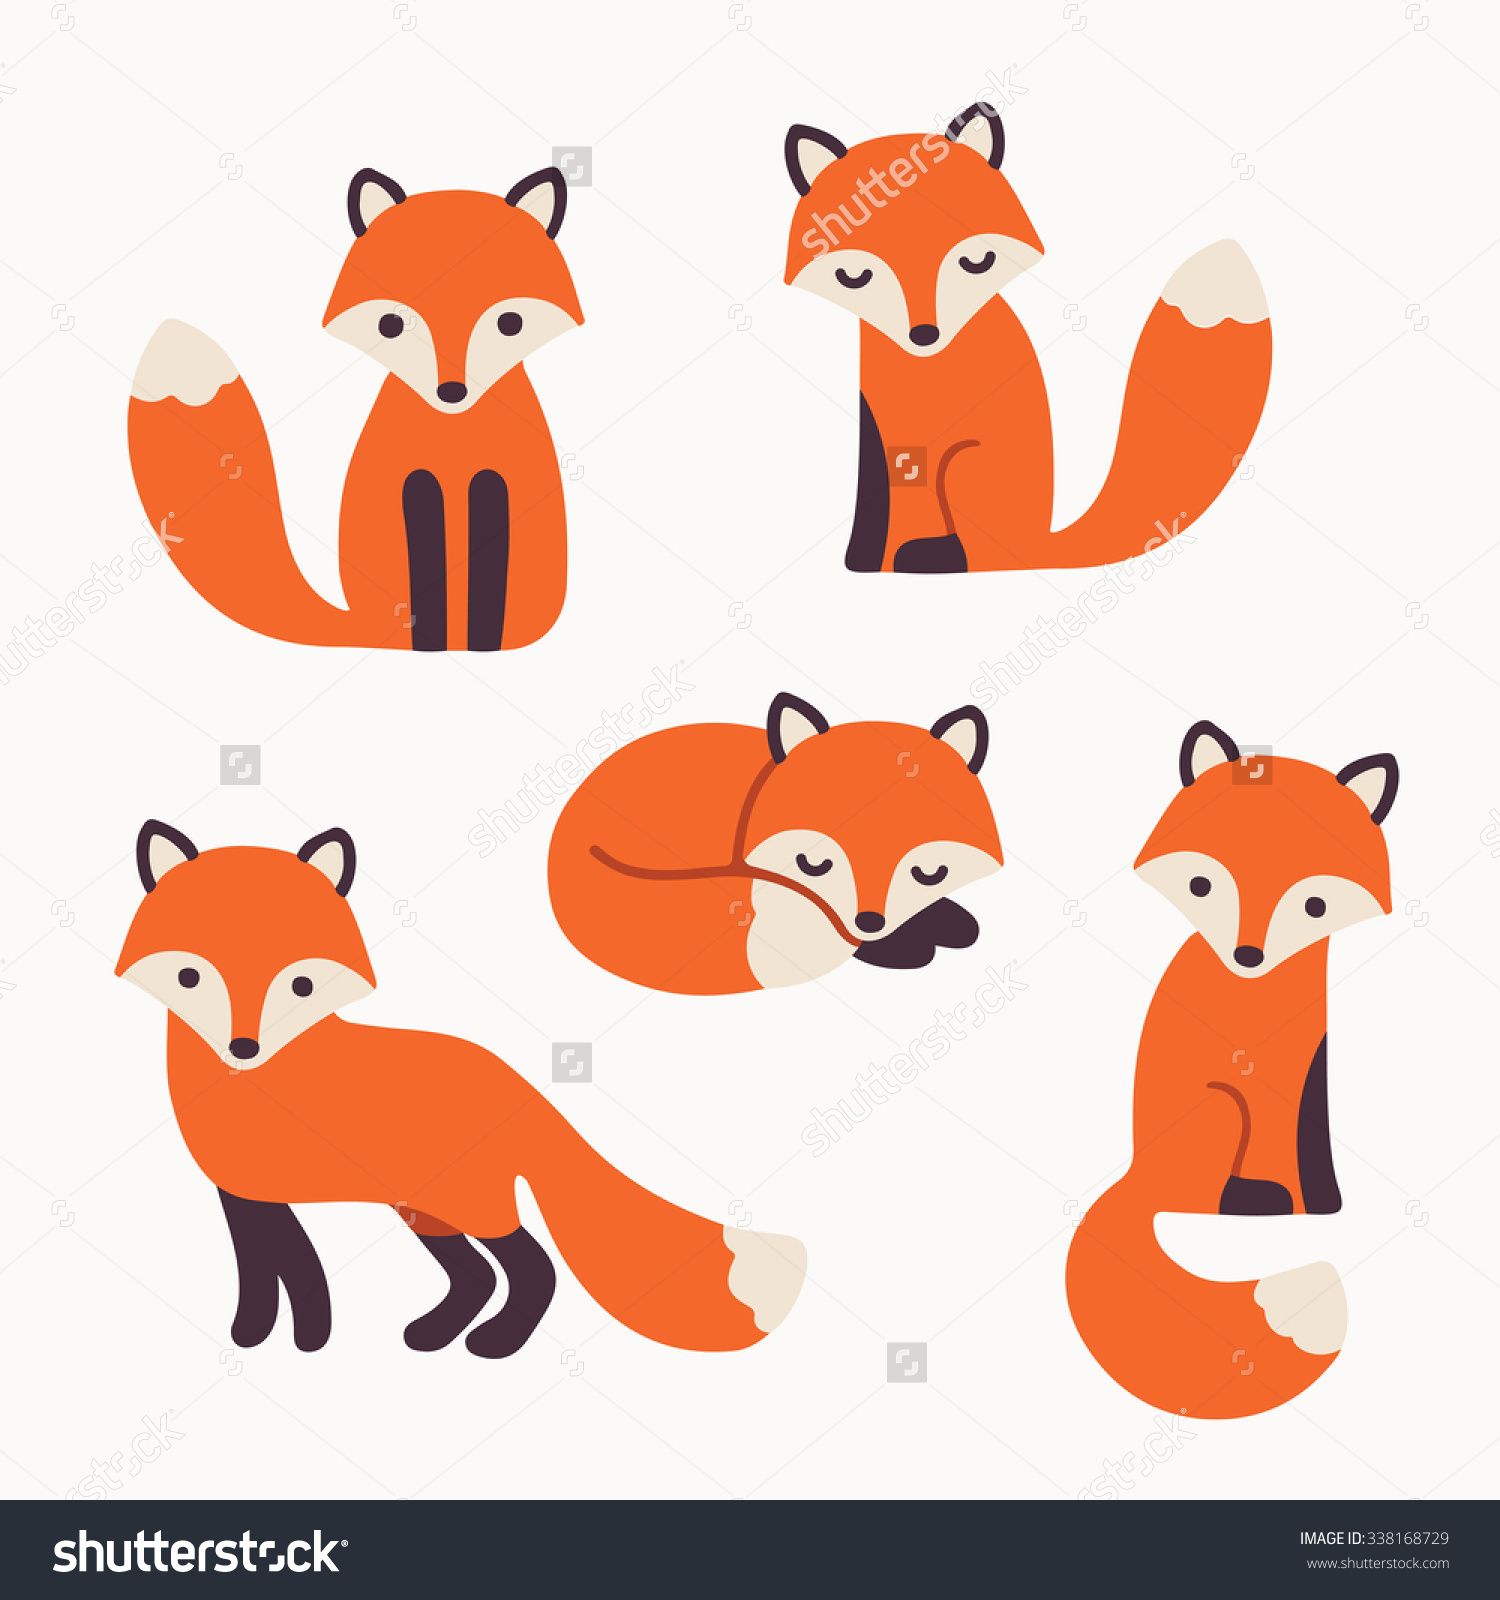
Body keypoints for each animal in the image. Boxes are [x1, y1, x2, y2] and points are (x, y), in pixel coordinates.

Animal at [116, 822, 806, 1356]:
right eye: (190, 976)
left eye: (301, 985)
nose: (244, 1048)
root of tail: (518, 1083)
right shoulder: (246, 1195)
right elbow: (269, 1274)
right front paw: (260, 1334)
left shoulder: (264, 1194)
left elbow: (298, 1276)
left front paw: (304, 1340)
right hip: (426, 1209)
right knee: (475, 1277)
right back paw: (433, 1335)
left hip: (465, 1203)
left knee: (532, 1268)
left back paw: (495, 1344)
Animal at [127, 166, 581, 652]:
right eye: (392, 324)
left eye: (510, 323)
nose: (452, 392)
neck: (453, 434)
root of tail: (364, 625)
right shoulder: (413, 482)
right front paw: (433, 636)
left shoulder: (496, 483)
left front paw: (481, 640)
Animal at [783, 103, 1272, 575]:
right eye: (854, 276)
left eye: (977, 261)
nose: (924, 335)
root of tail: (1041, 544)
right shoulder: (877, 429)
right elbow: (874, 508)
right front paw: (863, 562)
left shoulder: (915, 447)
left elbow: (906, 510)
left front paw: (896, 558)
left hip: (969, 469)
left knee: (984, 554)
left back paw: (935, 558)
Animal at [1065, 721, 1399, 1419]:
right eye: (1203, 886)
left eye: (1314, 904)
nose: (1248, 955)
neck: (1261, 994)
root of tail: (1134, 1170)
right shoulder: (1266, 1083)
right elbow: (1278, 1151)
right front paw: (1289, 1204)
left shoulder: (1311, 1066)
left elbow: (1312, 1148)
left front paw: (1324, 1204)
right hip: (1217, 1111)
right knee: (1197, 1198)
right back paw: (1249, 1201)